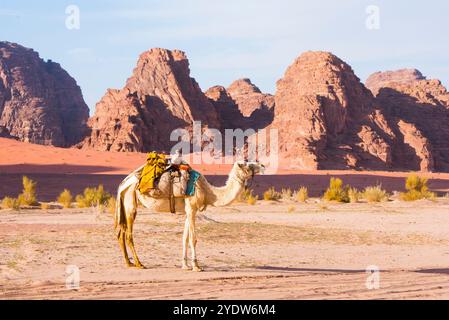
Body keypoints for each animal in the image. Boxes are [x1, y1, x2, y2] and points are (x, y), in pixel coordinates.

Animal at [114, 161, 264, 272]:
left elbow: (184, 238)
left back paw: (129, 263)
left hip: (125, 201)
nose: (262, 165)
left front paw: (185, 265)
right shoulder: (192, 207)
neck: (208, 192)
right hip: (130, 201)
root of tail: (123, 183)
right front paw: (196, 266)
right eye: (248, 164)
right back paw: (139, 263)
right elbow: (193, 239)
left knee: (121, 232)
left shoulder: (188, 211)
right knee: (129, 234)